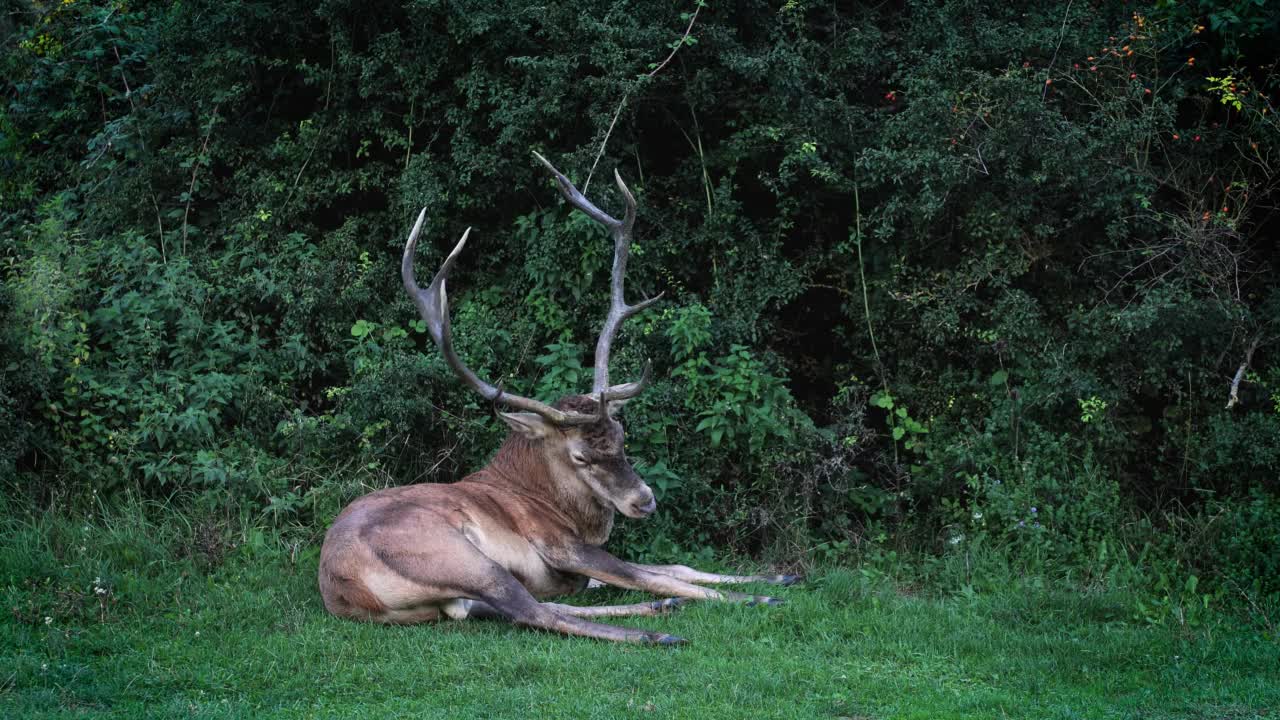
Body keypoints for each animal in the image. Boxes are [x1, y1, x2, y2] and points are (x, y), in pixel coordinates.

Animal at [317, 152, 798, 645]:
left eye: (622, 435)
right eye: (581, 456)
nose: (644, 499)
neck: (550, 501)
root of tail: (346, 588)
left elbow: (674, 566)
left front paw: (779, 575)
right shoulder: (562, 546)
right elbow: (656, 573)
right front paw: (755, 596)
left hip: (454, 594)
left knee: (520, 607)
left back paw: (661, 610)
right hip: (454, 555)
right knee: (531, 611)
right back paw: (656, 633)